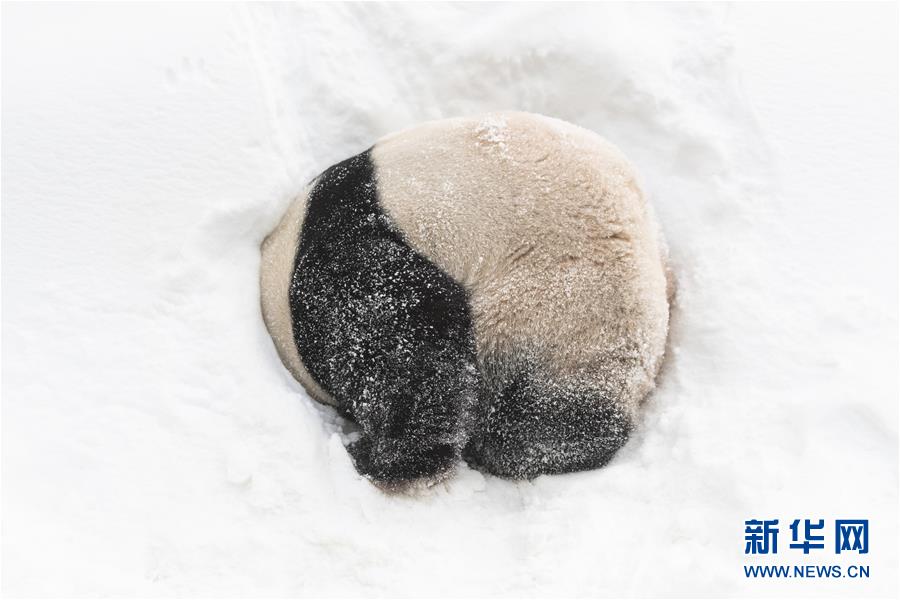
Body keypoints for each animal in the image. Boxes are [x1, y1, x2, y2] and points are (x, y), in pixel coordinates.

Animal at [260, 111, 668, 488]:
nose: (353, 423)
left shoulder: (344, 256)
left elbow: (400, 339)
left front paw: (386, 458)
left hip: (563, 303)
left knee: (542, 420)